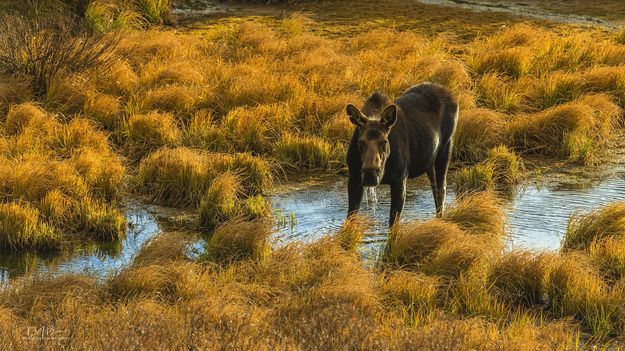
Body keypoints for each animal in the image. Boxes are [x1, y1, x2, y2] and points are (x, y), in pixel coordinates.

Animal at [344, 82, 456, 226]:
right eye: (361, 141)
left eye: (384, 141)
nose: (370, 175)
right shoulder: (354, 177)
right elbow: (350, 217)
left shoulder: (400, 178)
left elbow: (393, 222)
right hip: (429, 160)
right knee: (435, 187)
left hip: (446, 147)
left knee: (442, 188)